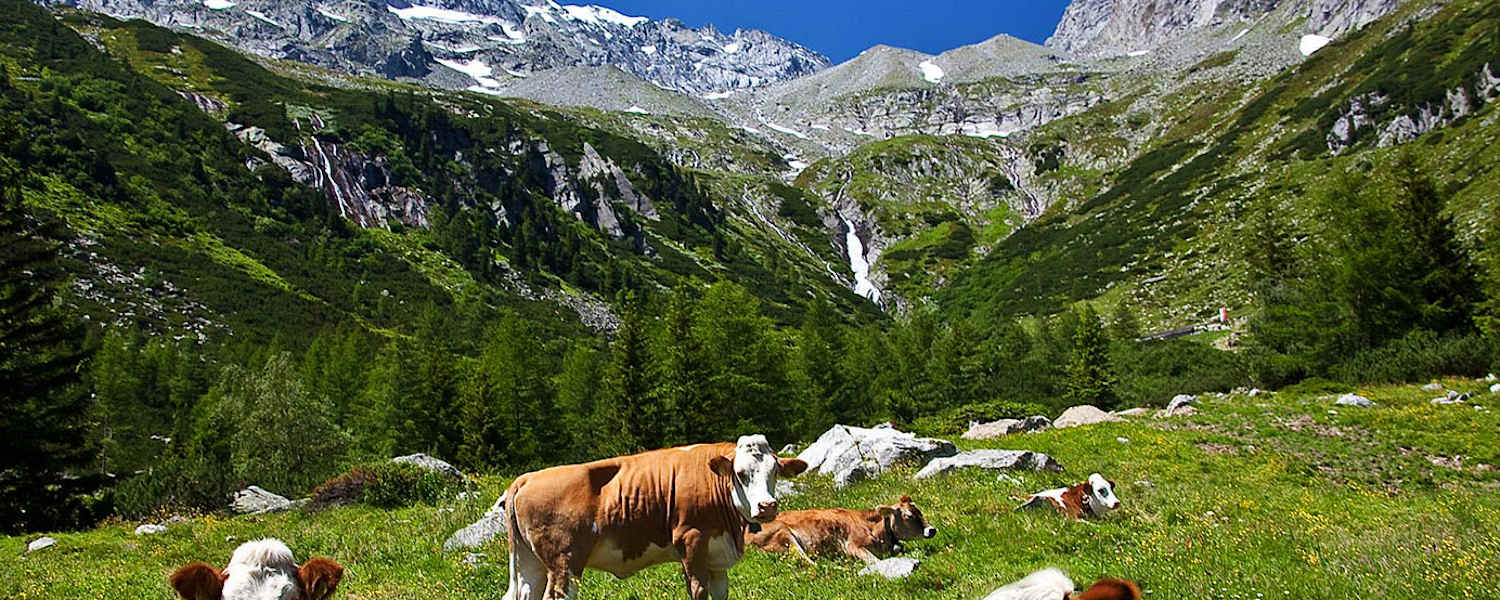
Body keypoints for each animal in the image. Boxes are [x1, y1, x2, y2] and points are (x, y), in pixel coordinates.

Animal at [502, 434, 807, 600]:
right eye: (741, 474)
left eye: (775, 471)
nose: (767, 506)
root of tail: (527, 477)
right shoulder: (691, 541)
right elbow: (698, 590)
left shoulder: (717, 555)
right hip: (564, 563)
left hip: (530, 562)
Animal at [743, 495, 936, 564]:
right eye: (908, 515)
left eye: (919, 511)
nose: (932, 530)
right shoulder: (853, 545)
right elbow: (874, 561)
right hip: (783, 533)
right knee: (808, 562)